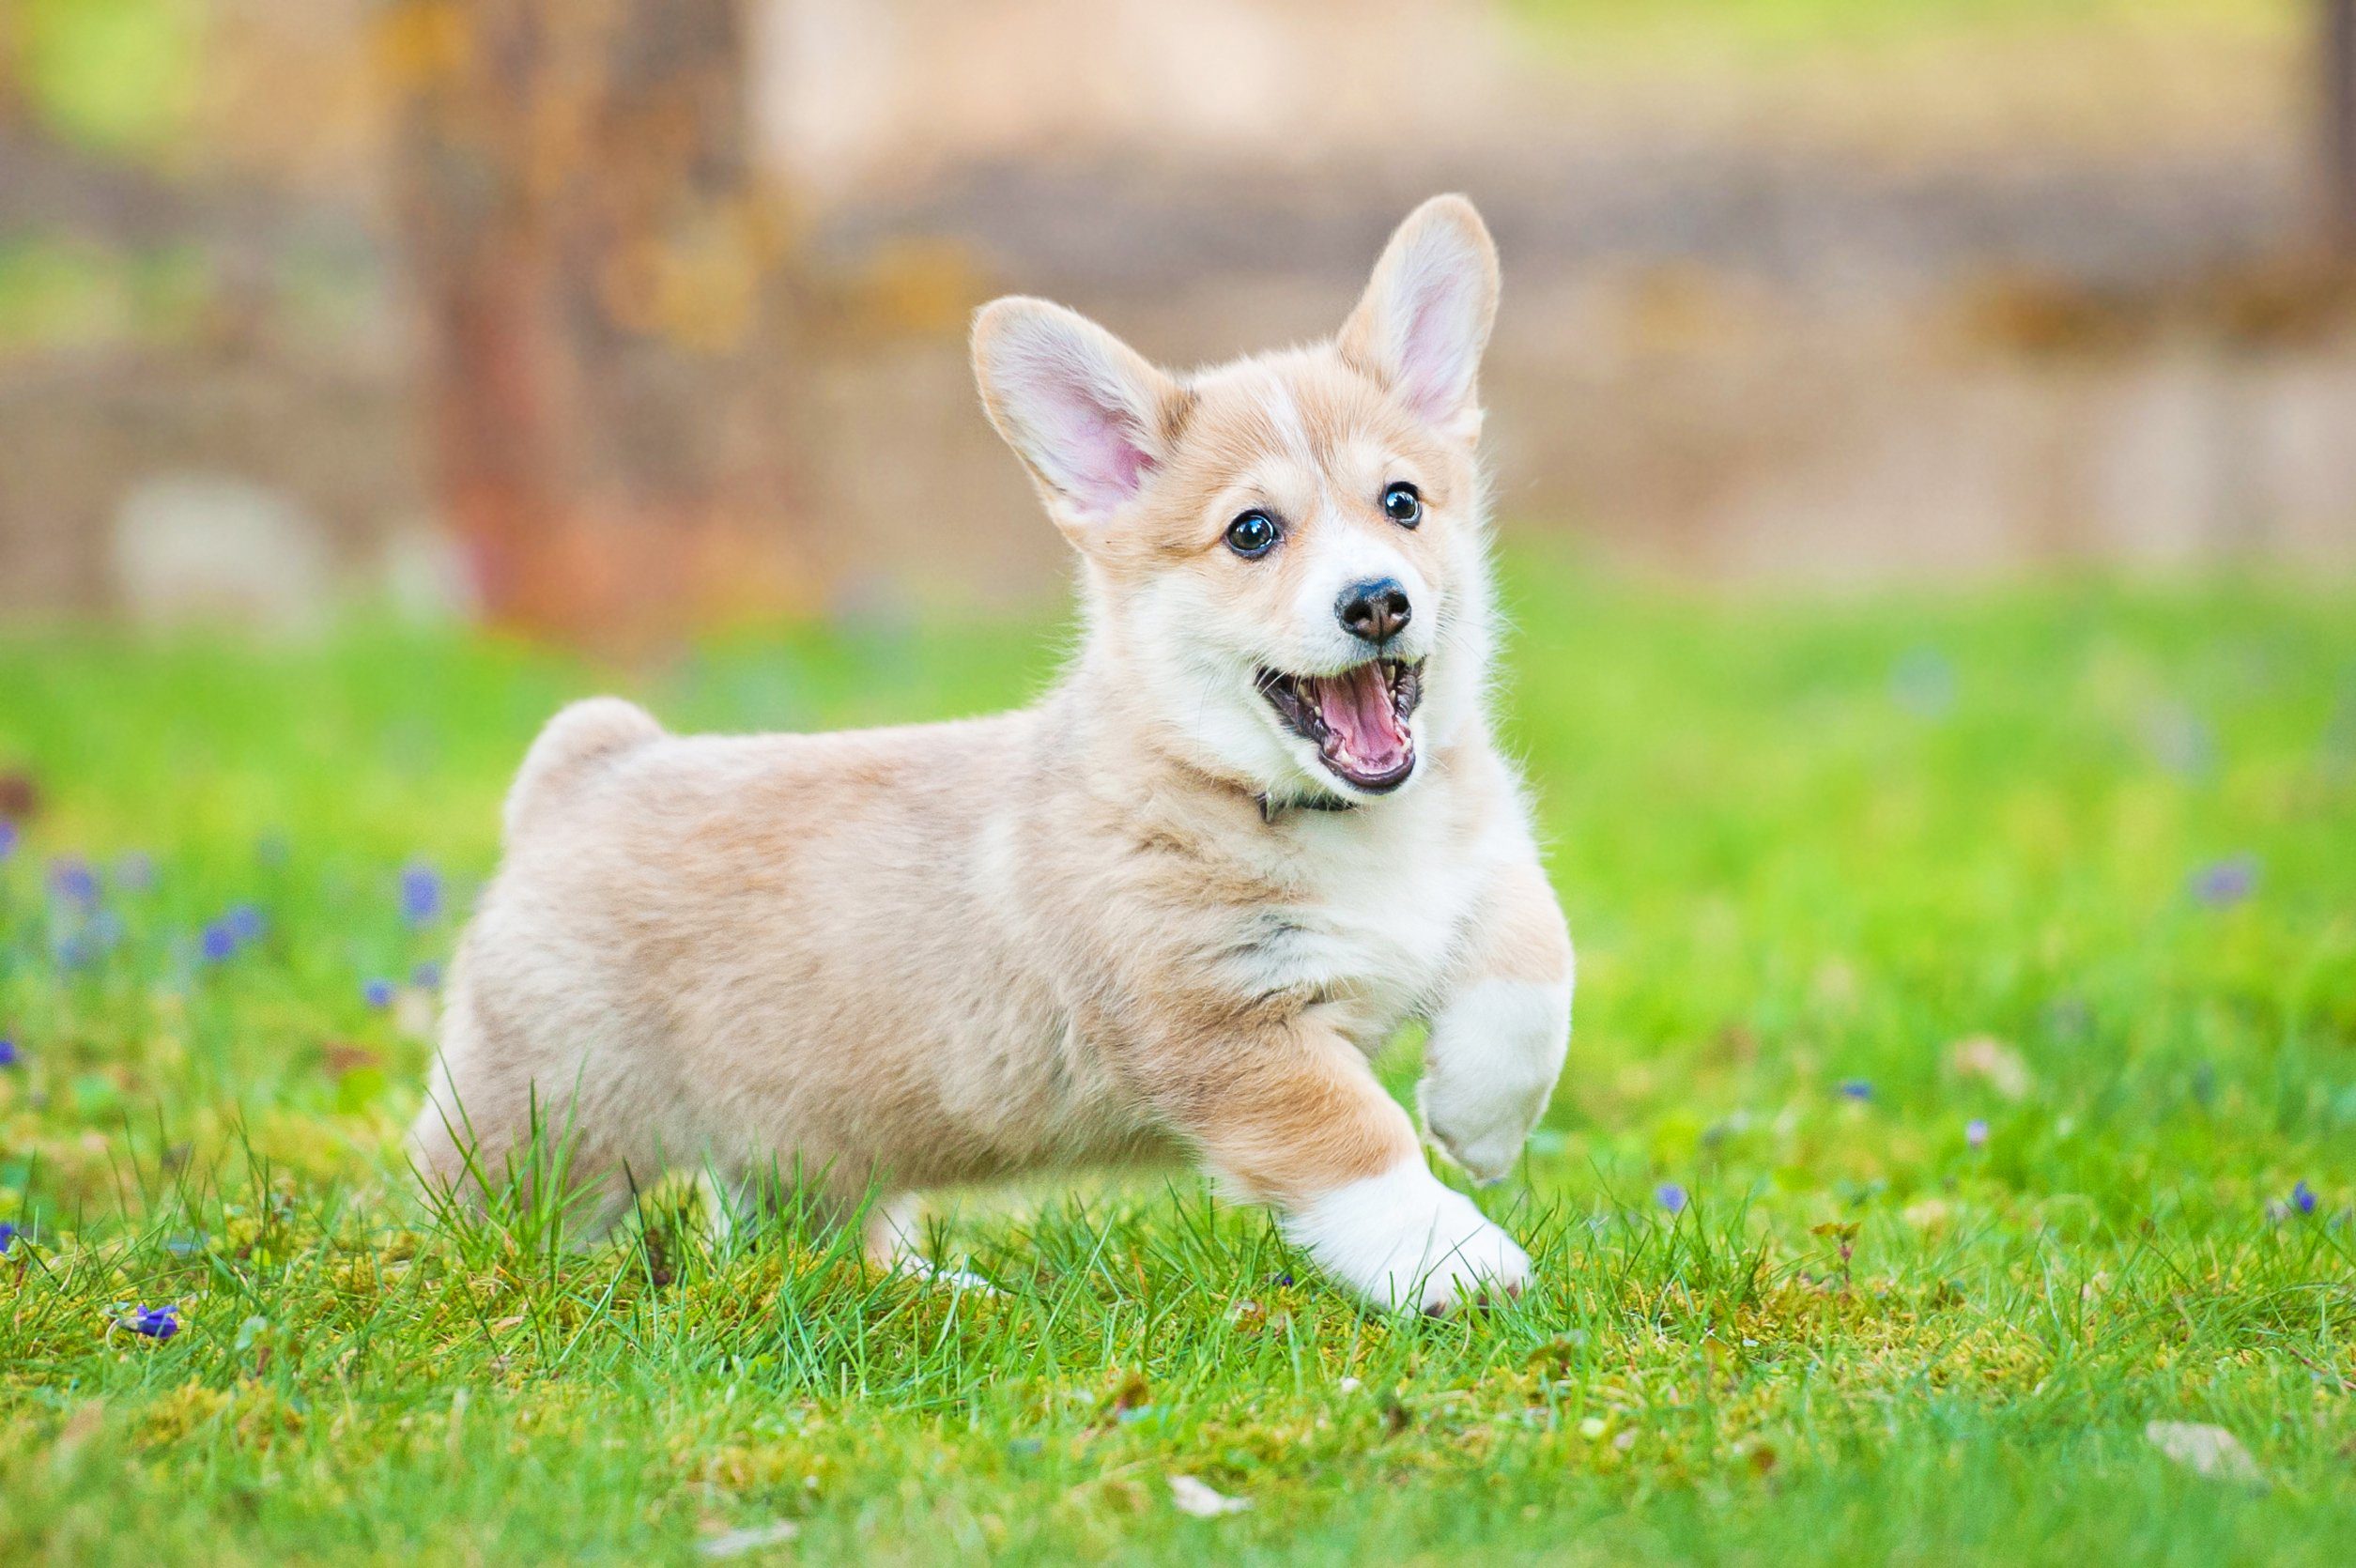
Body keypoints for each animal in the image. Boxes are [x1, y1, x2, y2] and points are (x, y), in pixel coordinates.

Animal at [414, 201, 1574, 1309]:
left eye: (1402, 502)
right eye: (1251, 531)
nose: (1377, 601)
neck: (1325, 818)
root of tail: (590, 769)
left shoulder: (1483, 870)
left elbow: (1533, 962)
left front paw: (1479, 1120)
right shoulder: (1230, 1031)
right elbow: (1355, 1141)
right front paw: (1453, 1258)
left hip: (807, 1124)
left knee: (802, 1234)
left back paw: (934, 1288)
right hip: (550, 1114)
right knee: (476, 1203)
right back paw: (465, 1281)